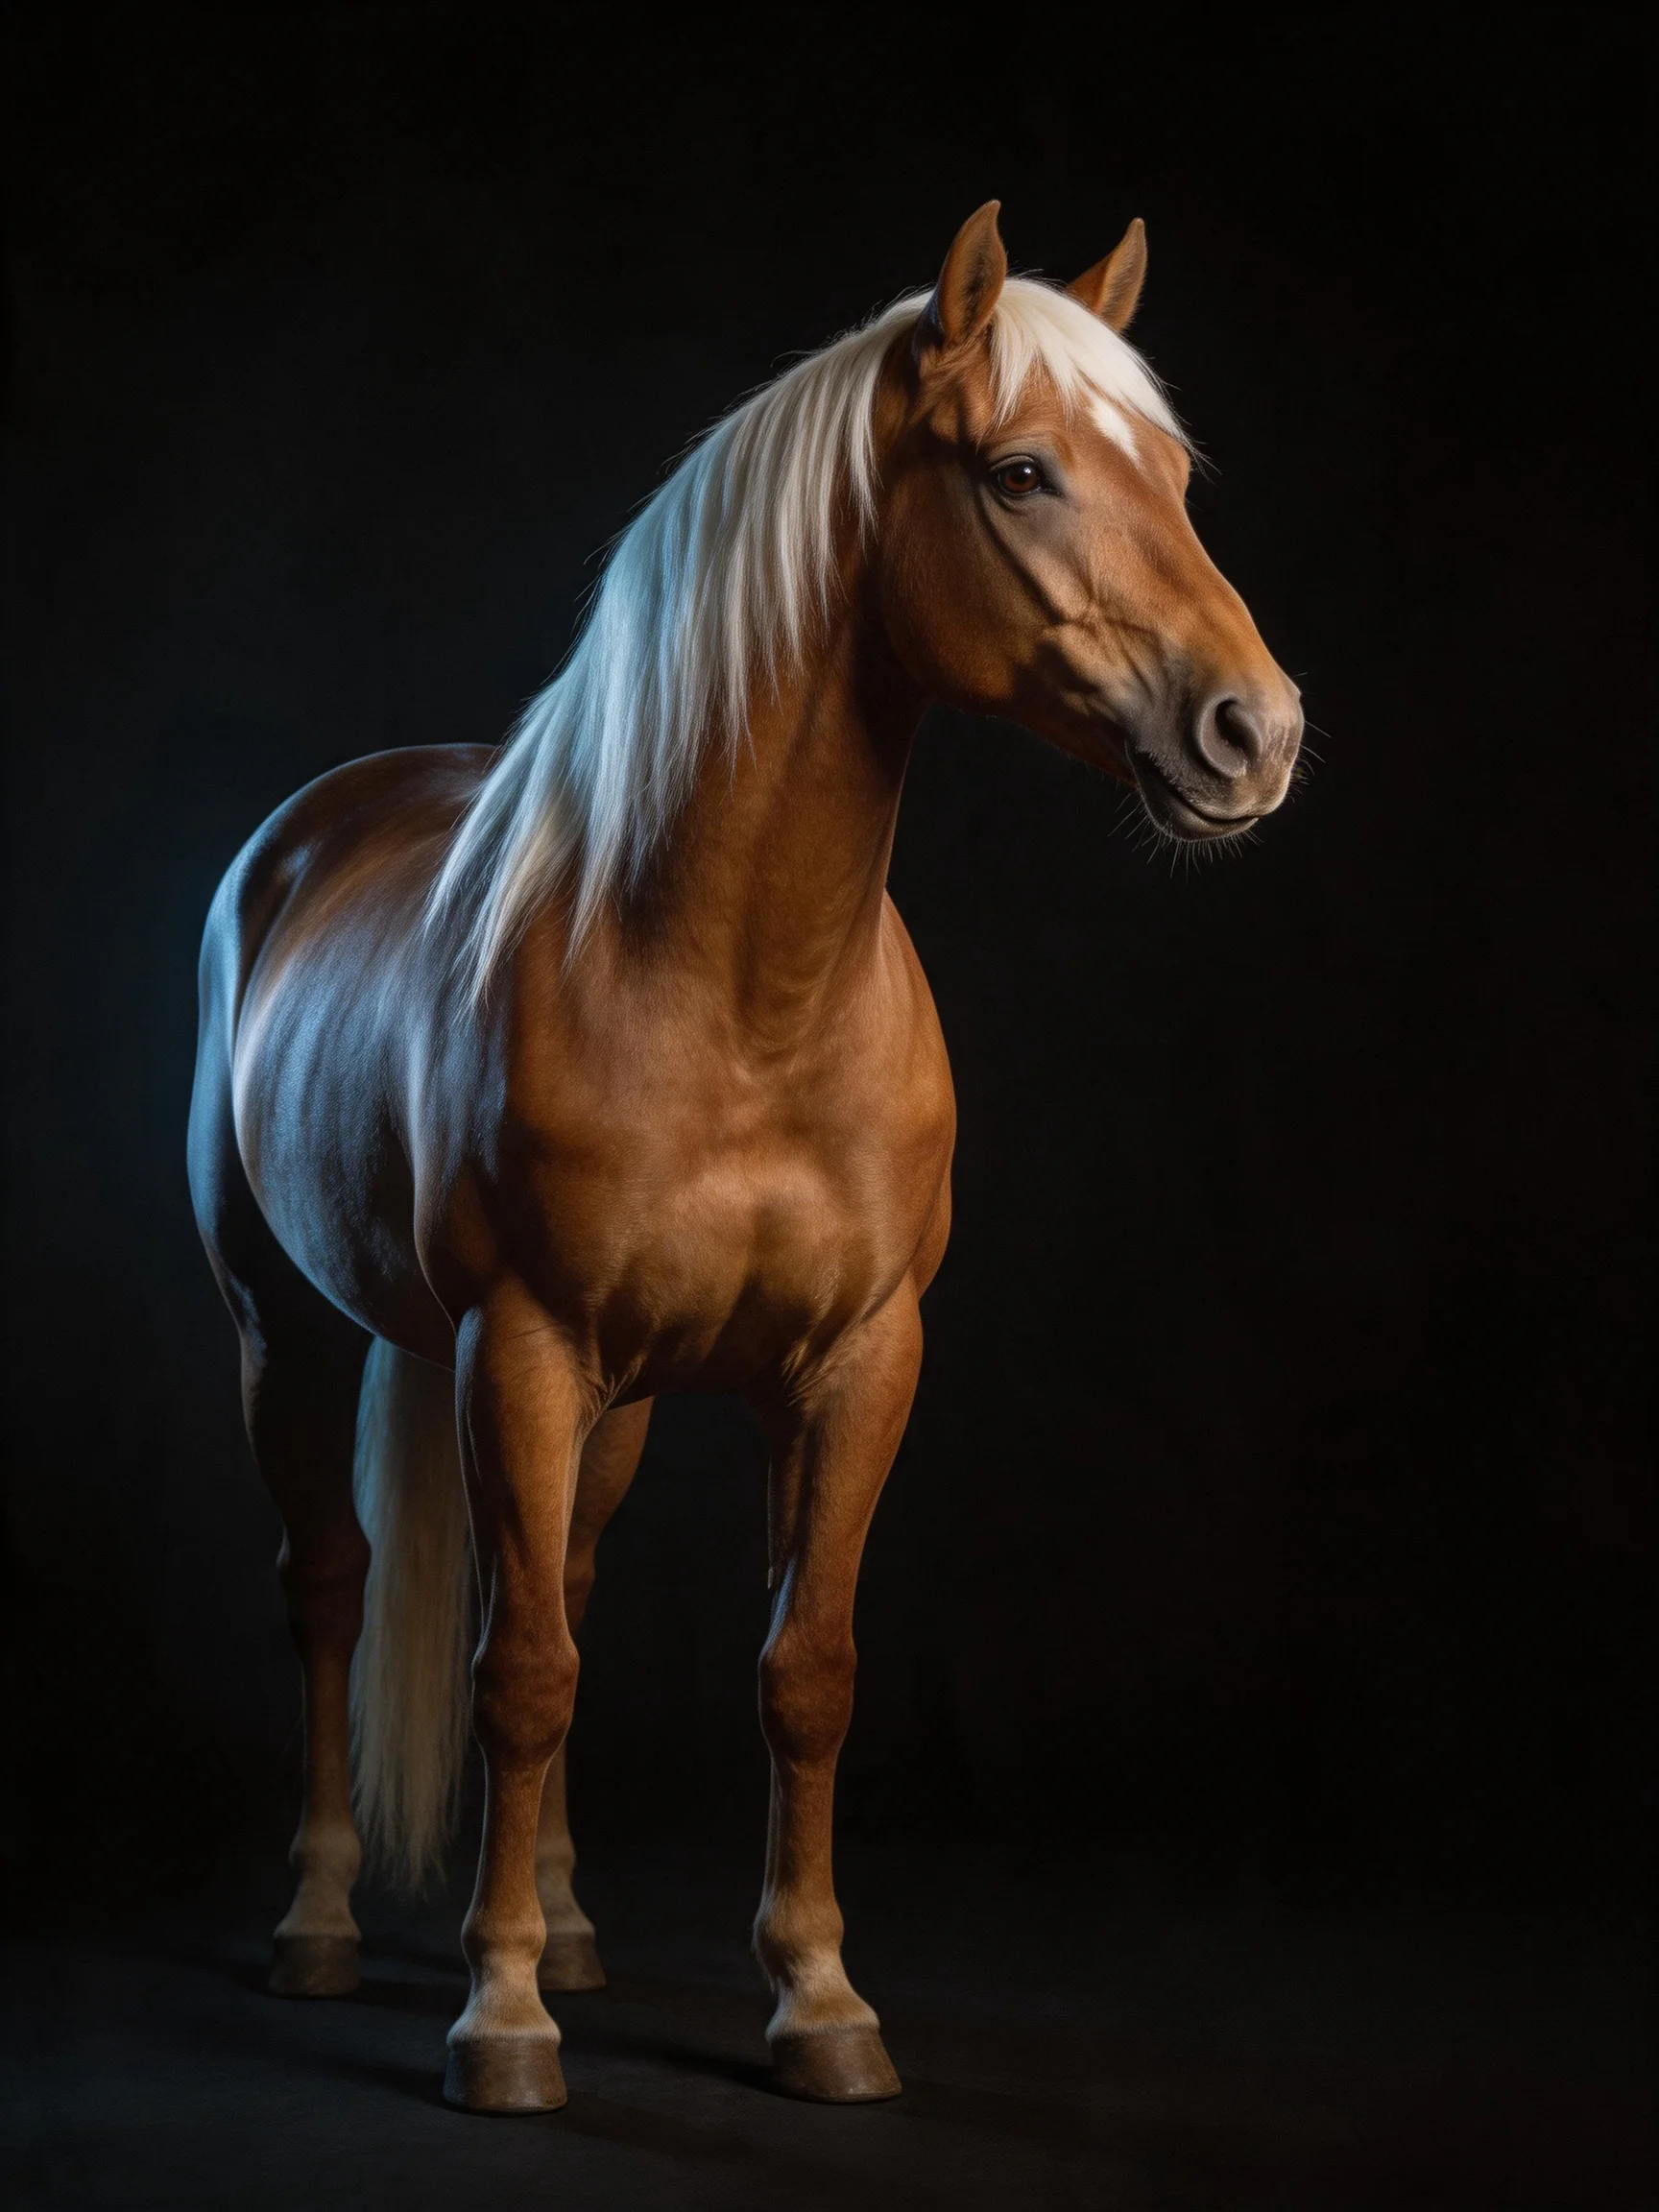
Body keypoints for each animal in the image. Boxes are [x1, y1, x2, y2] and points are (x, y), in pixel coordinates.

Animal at [188, 202, 1303, 2113]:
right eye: (1021, 472)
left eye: (1171, 471)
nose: (1258, 730)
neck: (737, 994)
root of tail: (308, 832)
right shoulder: (517, 1349)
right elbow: (518, 1676)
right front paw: (500, 2021)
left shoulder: (856, 1362)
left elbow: (801, 1671)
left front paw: (818, 2000)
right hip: (300, 1332)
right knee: (331, 1593)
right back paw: (325, 1922)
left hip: (614, 1404)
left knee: (552, 1583)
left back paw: (566, 1922)